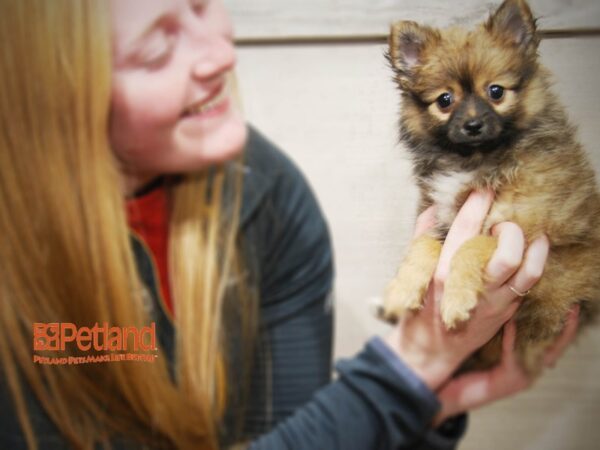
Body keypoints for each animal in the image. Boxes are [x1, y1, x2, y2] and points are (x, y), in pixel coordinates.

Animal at [382, 0, 600, 374]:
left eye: (495, 91)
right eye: (445, 100)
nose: (472, 124)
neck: (475, 160)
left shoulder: (524, 228)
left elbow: (472, 245)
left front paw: (455, 298)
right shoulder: (440, 219)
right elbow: (424, 245)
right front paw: (402, 289)